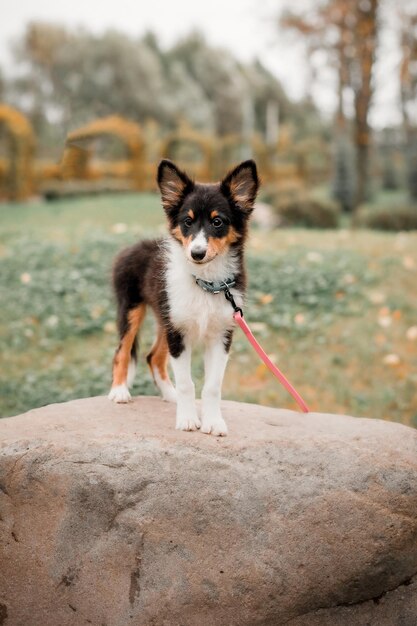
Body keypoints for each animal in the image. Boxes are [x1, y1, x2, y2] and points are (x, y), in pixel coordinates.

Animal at [108, 158, 256, 434]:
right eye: (187, 221)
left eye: (217, 222)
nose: (196, 253)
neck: (206, 282)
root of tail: (135, 246)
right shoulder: (178, 333)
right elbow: (188, 383)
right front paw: (187, 420)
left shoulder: (221, 335)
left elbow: (212, 386)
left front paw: (213, 422)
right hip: (132, 308)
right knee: (122, 351)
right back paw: (119, 391)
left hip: (166, 317)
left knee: (153, 357)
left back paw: (170, 395)